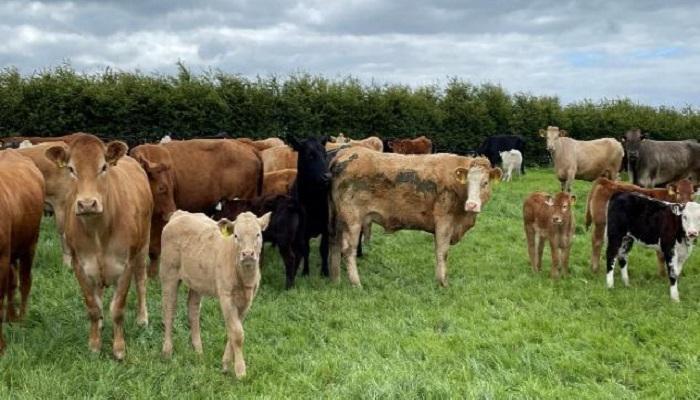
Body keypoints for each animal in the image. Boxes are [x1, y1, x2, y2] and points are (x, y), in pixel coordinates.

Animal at [44, 134, 152, 359]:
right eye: (71, 169)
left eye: (103, 167)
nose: (87, 204)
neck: (98, 232)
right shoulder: (79, 265)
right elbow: (93, 306)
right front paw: (94, 344)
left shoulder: (126, 265)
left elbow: (118, 308)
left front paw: (119, 348)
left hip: (143, 246)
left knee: (141, 282)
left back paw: (142, 319)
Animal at [160, 210, 270, 378]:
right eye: (236, 235)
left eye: (258, 234)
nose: (247, 254)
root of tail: (180, 214)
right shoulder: (226, 297)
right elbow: (237, 333)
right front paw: (240, 371)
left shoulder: (248, 300)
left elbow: (234, 330)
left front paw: (226, 364)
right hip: (168, 273)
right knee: (169, 310)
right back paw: (167, 351)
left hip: (197, 281)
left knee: (193, 310)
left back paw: (198, 350)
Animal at [329, 149, 501, 287]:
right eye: (468, 183)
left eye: (485, 183)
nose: (472, 205)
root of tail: (344, 153)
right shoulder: (444, 221)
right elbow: (442, 252)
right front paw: (442, 282)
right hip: (352, 219)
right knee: (348, 250)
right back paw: (356, 283)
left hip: (339, 219)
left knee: (335, 245)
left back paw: (336, 280)